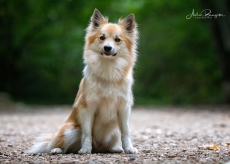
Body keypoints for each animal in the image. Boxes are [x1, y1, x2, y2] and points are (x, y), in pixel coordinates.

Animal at [27, 8, 138, 155]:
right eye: (102, 38)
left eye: (117, 40)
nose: (107, 48)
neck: (108, 68)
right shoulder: (87, 107)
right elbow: (87, 132)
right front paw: (85, 149)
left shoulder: (123, 108)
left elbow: (125, 131)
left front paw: (129, 148)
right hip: (70, 130)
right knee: (60, 146)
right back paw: (57, 149)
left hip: (113, 133)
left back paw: (116, 149)